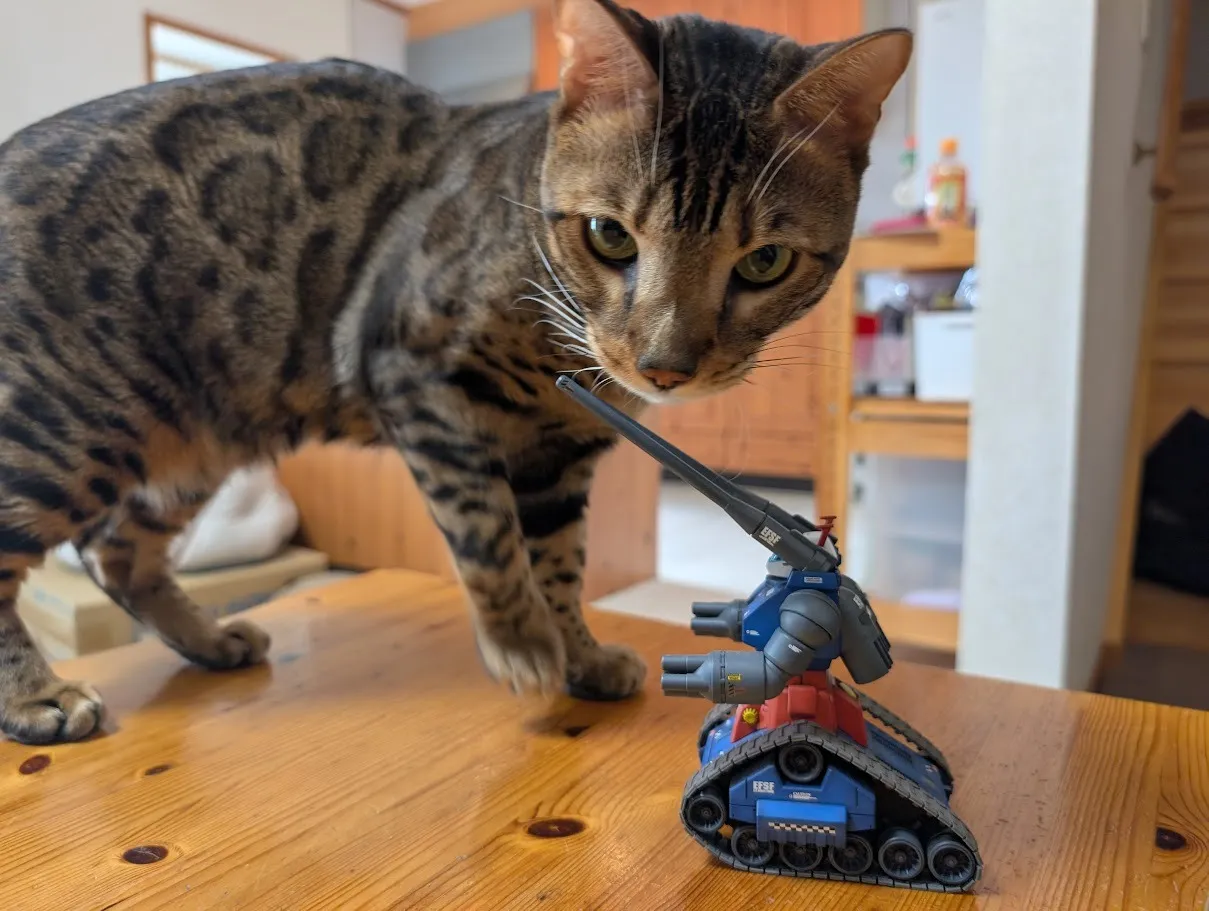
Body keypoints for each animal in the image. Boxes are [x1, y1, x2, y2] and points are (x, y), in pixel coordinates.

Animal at [0, 0, 910, 744]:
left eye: (763, 262)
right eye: (608, 235)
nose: (662, 366)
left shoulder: (559, 452)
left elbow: (562, 561)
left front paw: (578, 651)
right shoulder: (419, 382)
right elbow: (488, 533)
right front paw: (523, 643)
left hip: (190, 437)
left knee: (116, 551)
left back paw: (210, 638)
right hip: (65, 427)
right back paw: (39, 697)